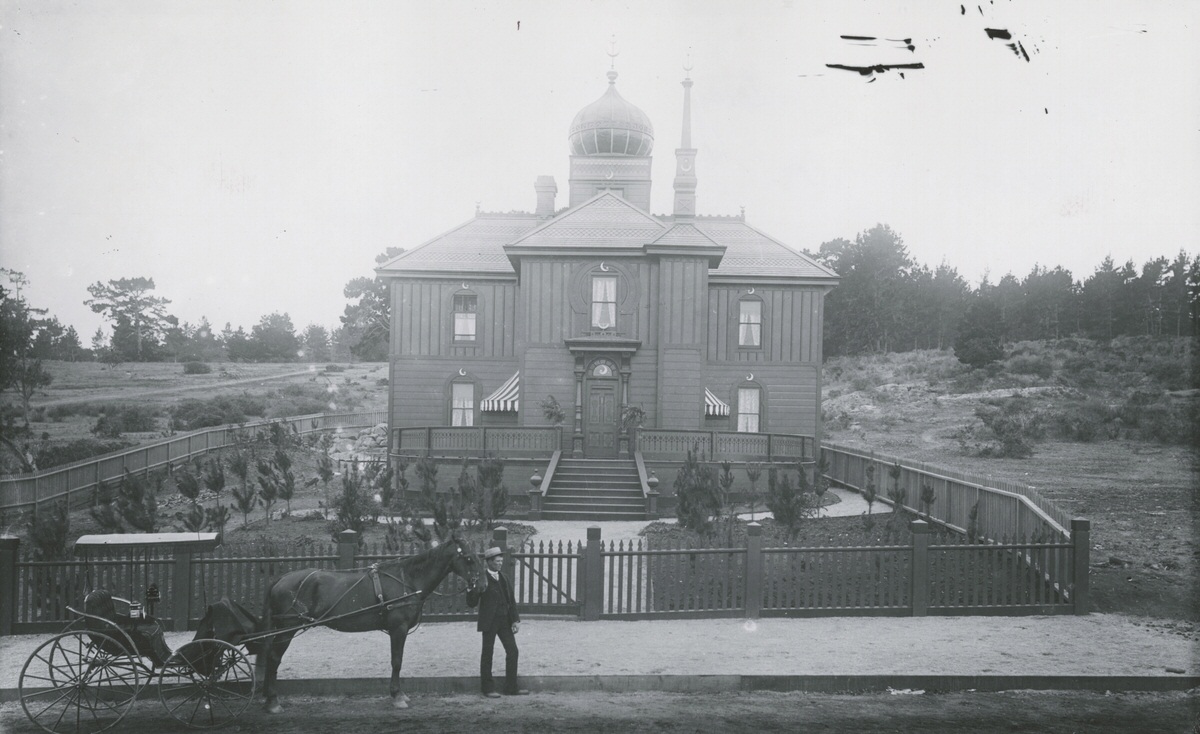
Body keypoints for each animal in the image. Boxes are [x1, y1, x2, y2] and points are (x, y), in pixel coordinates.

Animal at [255, 532, 480, 710]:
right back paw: (273, 701)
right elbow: (396, 661)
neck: (407, 579)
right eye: (469, 558)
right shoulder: (398, 629)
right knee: (274, 658)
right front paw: (397, 696)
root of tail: (281, 579)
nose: (481, 586)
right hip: (287, 629)